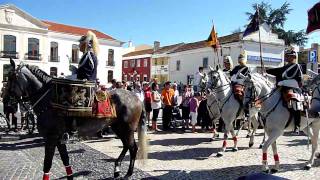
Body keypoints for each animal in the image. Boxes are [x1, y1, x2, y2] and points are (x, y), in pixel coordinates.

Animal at [5, 58, 149, 179]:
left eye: (11, 77)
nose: (6, 100)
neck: (48, 99)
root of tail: (137, 98)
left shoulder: (51, 138)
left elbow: (47, 164)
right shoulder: (59, 139)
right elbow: (65, 160)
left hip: (127, 129)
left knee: (133, 148)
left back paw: (128, 173)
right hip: (118, 127)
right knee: (126, 146)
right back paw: (117, 168)